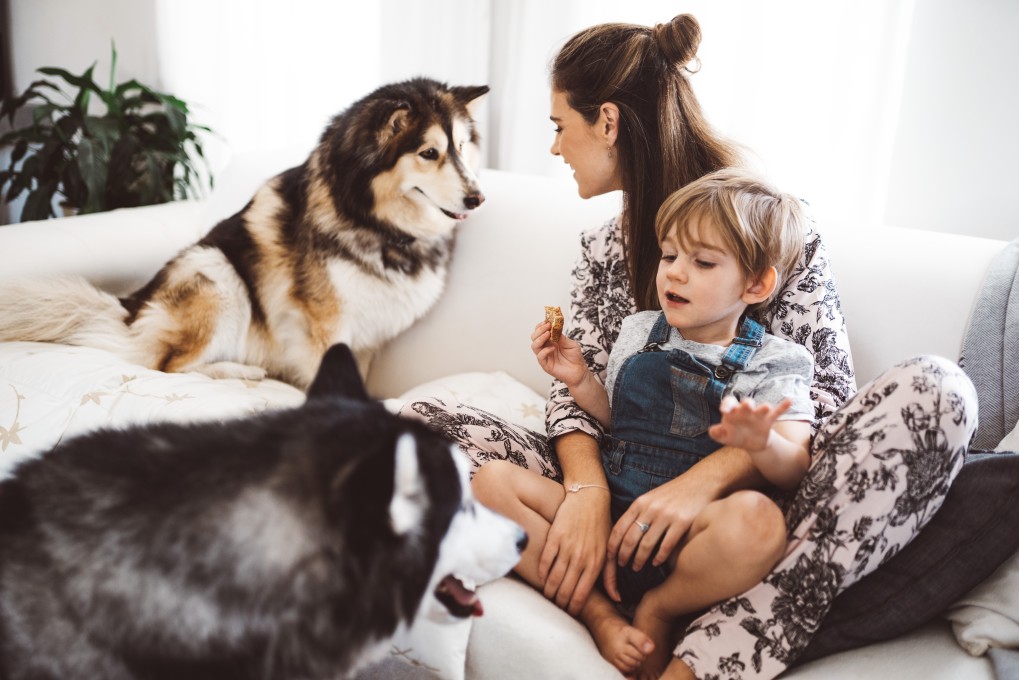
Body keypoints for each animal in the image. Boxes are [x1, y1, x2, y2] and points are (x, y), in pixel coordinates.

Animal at [0, 77, 489, 387]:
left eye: (462, 147)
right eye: (429, 153)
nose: (477, 198)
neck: (378, 224)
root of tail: (133, 306)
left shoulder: (368, 337)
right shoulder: (327, 326)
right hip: (218, 274)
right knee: (165, 366)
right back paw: (238, 373)